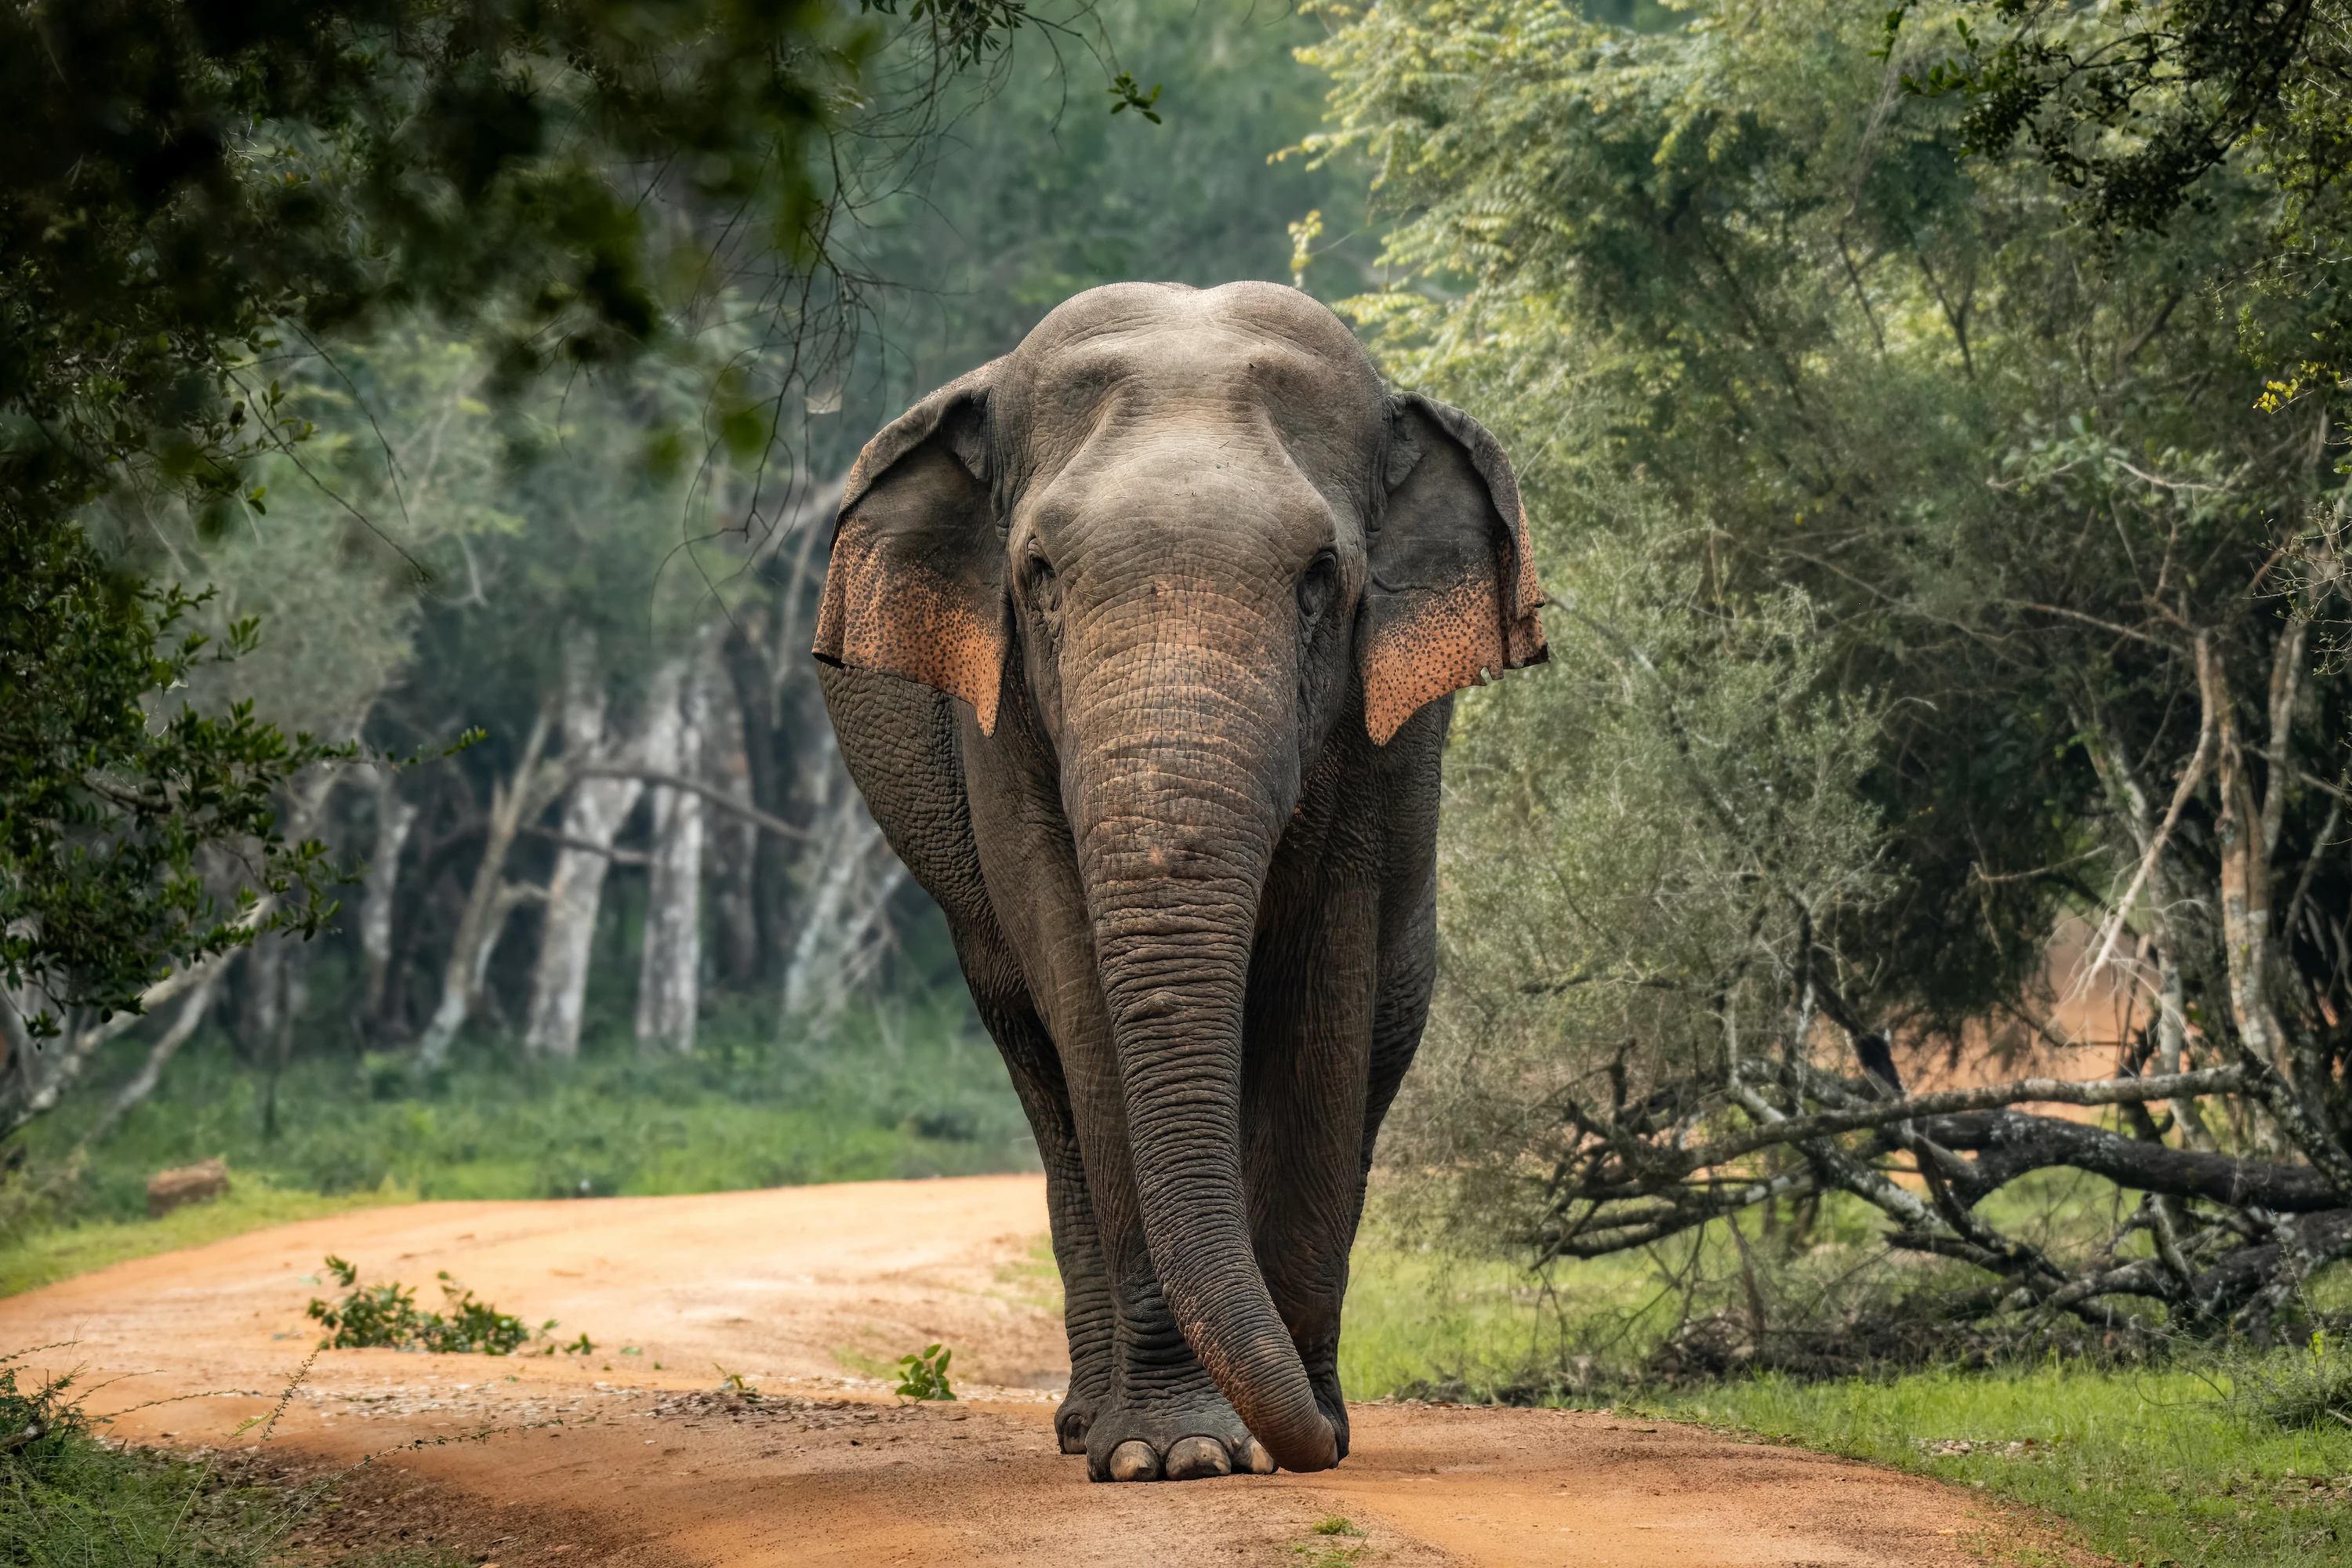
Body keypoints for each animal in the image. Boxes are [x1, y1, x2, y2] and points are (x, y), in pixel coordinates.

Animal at [813, 281, 1546, 1482]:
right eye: (1038, 576)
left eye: (1321, 578)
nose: (1307, 1441)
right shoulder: (1001, 722)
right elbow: (1082, 996)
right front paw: (1178, 1456)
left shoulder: (1374, 743)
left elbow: (1324, 994)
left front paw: (1298, 1435)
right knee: (1041, 1067)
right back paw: (1085, 1428)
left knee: (1377, 1038)